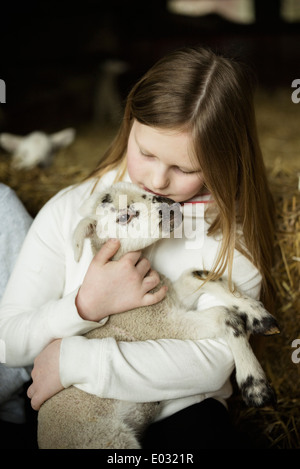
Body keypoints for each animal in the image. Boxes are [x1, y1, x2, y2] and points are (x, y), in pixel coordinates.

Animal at [37, 181, 278, 448]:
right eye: (124, 216)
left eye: (145, 191)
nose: (170, 207)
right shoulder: (163, 324)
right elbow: (226, 317)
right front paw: (256, 387)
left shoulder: (172, 299)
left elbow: (203, 276)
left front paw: (259, 316)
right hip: (111, 439)